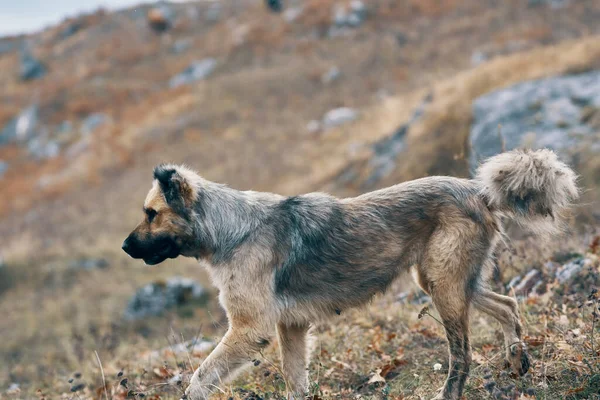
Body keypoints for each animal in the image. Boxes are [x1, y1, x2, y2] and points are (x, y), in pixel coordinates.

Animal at [124, 150, 580, 400]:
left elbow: (200, 379)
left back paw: (452, 391)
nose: (127, 247)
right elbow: (295, 381)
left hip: (445, 288)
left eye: (151, 214)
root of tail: (479, 192)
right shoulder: (291, 327)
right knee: (507, 303)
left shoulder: (250, 329)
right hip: (445, 281)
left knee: (462, 354)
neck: (231, 230)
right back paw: (518, 360)